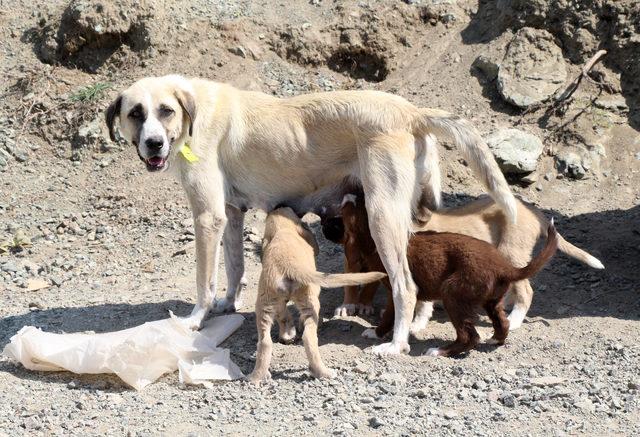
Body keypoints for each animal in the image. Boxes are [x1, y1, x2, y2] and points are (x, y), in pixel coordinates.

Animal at [105, 75, 516, 354]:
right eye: (135, 113)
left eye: (165, 111)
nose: (153, 143)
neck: (193, 111)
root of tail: (413, 112)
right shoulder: (231, 214)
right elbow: (235, 267)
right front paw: (228, 304)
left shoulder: (208, 217)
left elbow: (204, 281)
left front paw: (195, 319)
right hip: (410, 216)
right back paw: (416, 324)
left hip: (382, 217)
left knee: (406, 286)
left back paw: (396, 343)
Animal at [248, 208, 382, 382]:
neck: (283, 231)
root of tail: (287, 266)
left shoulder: (277, 302)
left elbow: (283, 315)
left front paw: (288, 333)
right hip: (309, 301)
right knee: (308, 337)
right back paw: (323, 372)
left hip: (264, 303)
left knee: (264, 342)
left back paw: (256, 377)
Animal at [336, 194, 556, 358]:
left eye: (355, 208)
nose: (348, 195)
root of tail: (504, 267)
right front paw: (377, 332)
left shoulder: (397, 289)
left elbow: (392, 315)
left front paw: (381, 336)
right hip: (491, 301)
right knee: (502, 323)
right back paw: (494, 338)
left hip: (453, 293)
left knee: (470, 336)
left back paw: (440, 350)